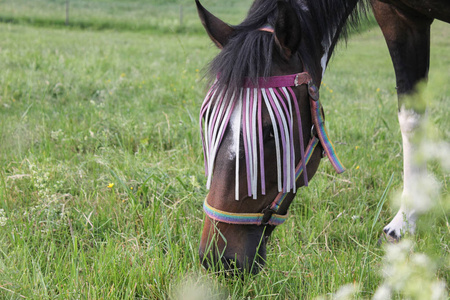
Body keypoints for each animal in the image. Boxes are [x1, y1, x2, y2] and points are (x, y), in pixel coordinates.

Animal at [197, 0, 450, 274]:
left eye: (271, 131)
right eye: (208, 118)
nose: (217, 259)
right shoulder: (398, 17)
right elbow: (412, 118)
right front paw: (404, 224)